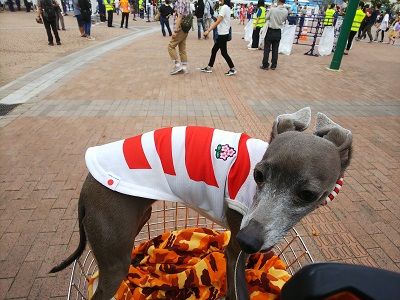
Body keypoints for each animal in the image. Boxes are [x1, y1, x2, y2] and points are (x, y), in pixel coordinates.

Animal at [50, 108, 354, 300]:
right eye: (258, 175)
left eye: (307, 194)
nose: (249, 240)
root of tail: (87, 186)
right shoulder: (234, 251)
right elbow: (237, 290)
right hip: (115, 261)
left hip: (135, 222)